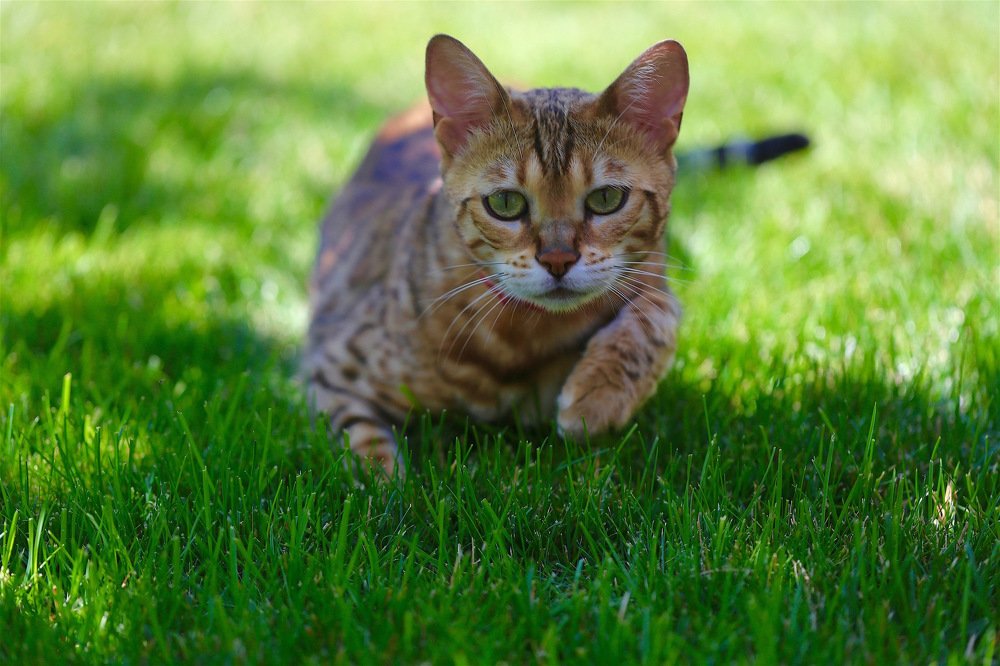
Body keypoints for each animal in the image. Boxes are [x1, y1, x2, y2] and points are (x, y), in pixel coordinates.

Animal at [305, 34, 689, 476]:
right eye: (505, 203)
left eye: (606, 198)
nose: (558, 260)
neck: (527, 338)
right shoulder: (334, 367)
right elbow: (364, 445)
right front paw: (387, 485)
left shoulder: (655, 270)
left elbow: (658, 313)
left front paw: (599, 395)